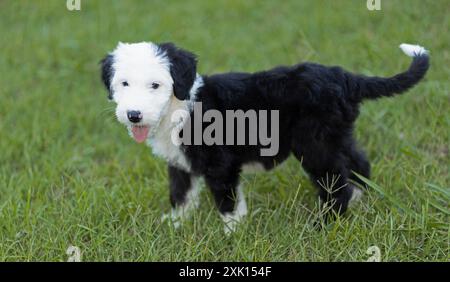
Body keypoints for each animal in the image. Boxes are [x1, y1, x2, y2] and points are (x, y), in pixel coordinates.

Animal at [100, 40, 430, 232]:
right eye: (124, 83)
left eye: (155, 85)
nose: (133, 114)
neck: (181, 105)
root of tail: (344, 77)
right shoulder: (180, 162)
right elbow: (181, 193)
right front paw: (176, 224)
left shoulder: (221, 163)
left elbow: (227, 200)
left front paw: (232, 233)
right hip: (337, 136)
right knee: (359, 164)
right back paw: (361, 200)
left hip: (315, 144)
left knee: (336, 184)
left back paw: (324, 223)